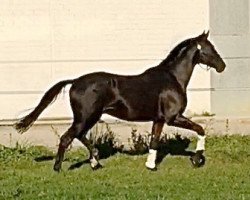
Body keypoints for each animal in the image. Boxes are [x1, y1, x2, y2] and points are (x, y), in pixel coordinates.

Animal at [16, 30, 227, 170]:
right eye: (210, 48)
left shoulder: (159, 119)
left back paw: (95, 162)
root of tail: (75, 81)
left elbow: (154, 141)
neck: (172, 78)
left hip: (89, 117)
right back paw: (59, 168)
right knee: (67, 137)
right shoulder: (173, 117)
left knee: (80, 136)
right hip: (86, 117)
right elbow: (200, 129)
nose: (222, 66)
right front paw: (197, 159)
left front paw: (150, 165)